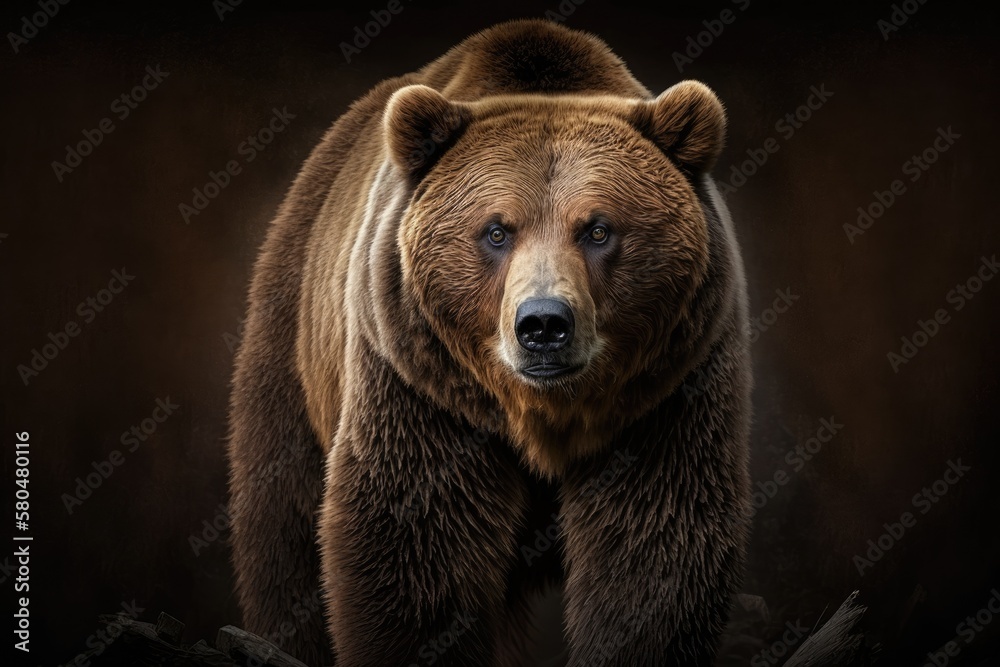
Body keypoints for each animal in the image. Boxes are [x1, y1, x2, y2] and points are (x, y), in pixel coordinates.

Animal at [227, 18, 751, 667]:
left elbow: (655, 547)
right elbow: (414, 544)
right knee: (284, 522)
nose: (544, 324)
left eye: (598, 229)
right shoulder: (422, 385)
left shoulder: (668, 387)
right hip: (294, 340)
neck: (541, 414)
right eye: (497, 231)